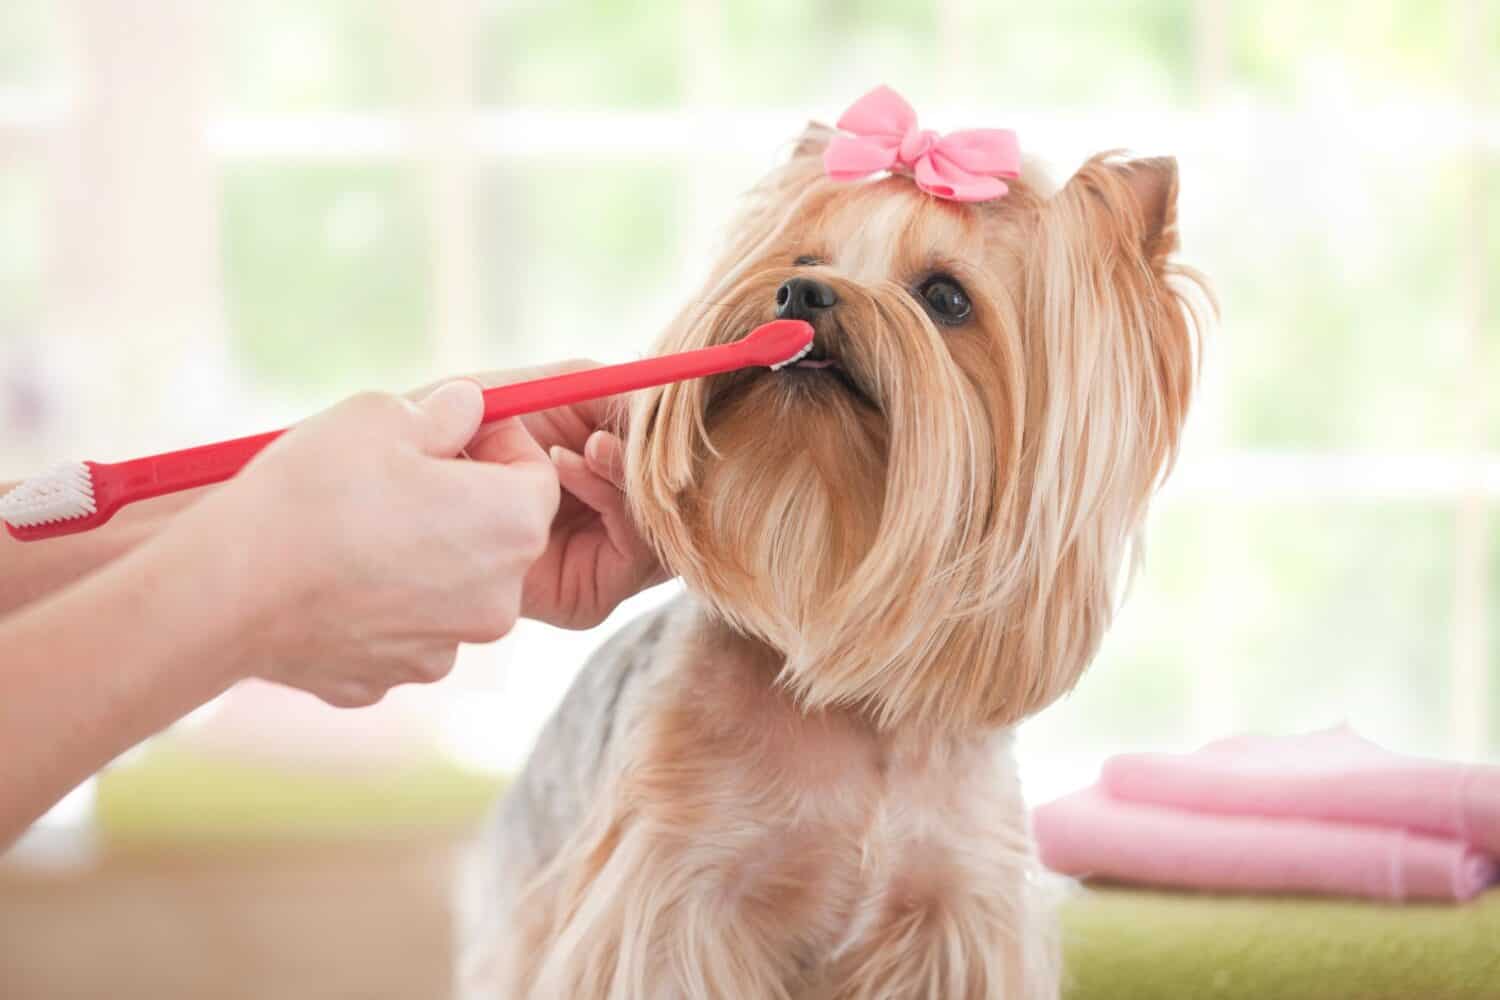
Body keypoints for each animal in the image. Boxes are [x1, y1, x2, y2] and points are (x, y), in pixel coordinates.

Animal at [456, 88, 1206, 1000]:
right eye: (804, 256)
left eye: (946, 298)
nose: (800, 291)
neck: (852, 707)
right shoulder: (673, 899)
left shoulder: (958, 915)